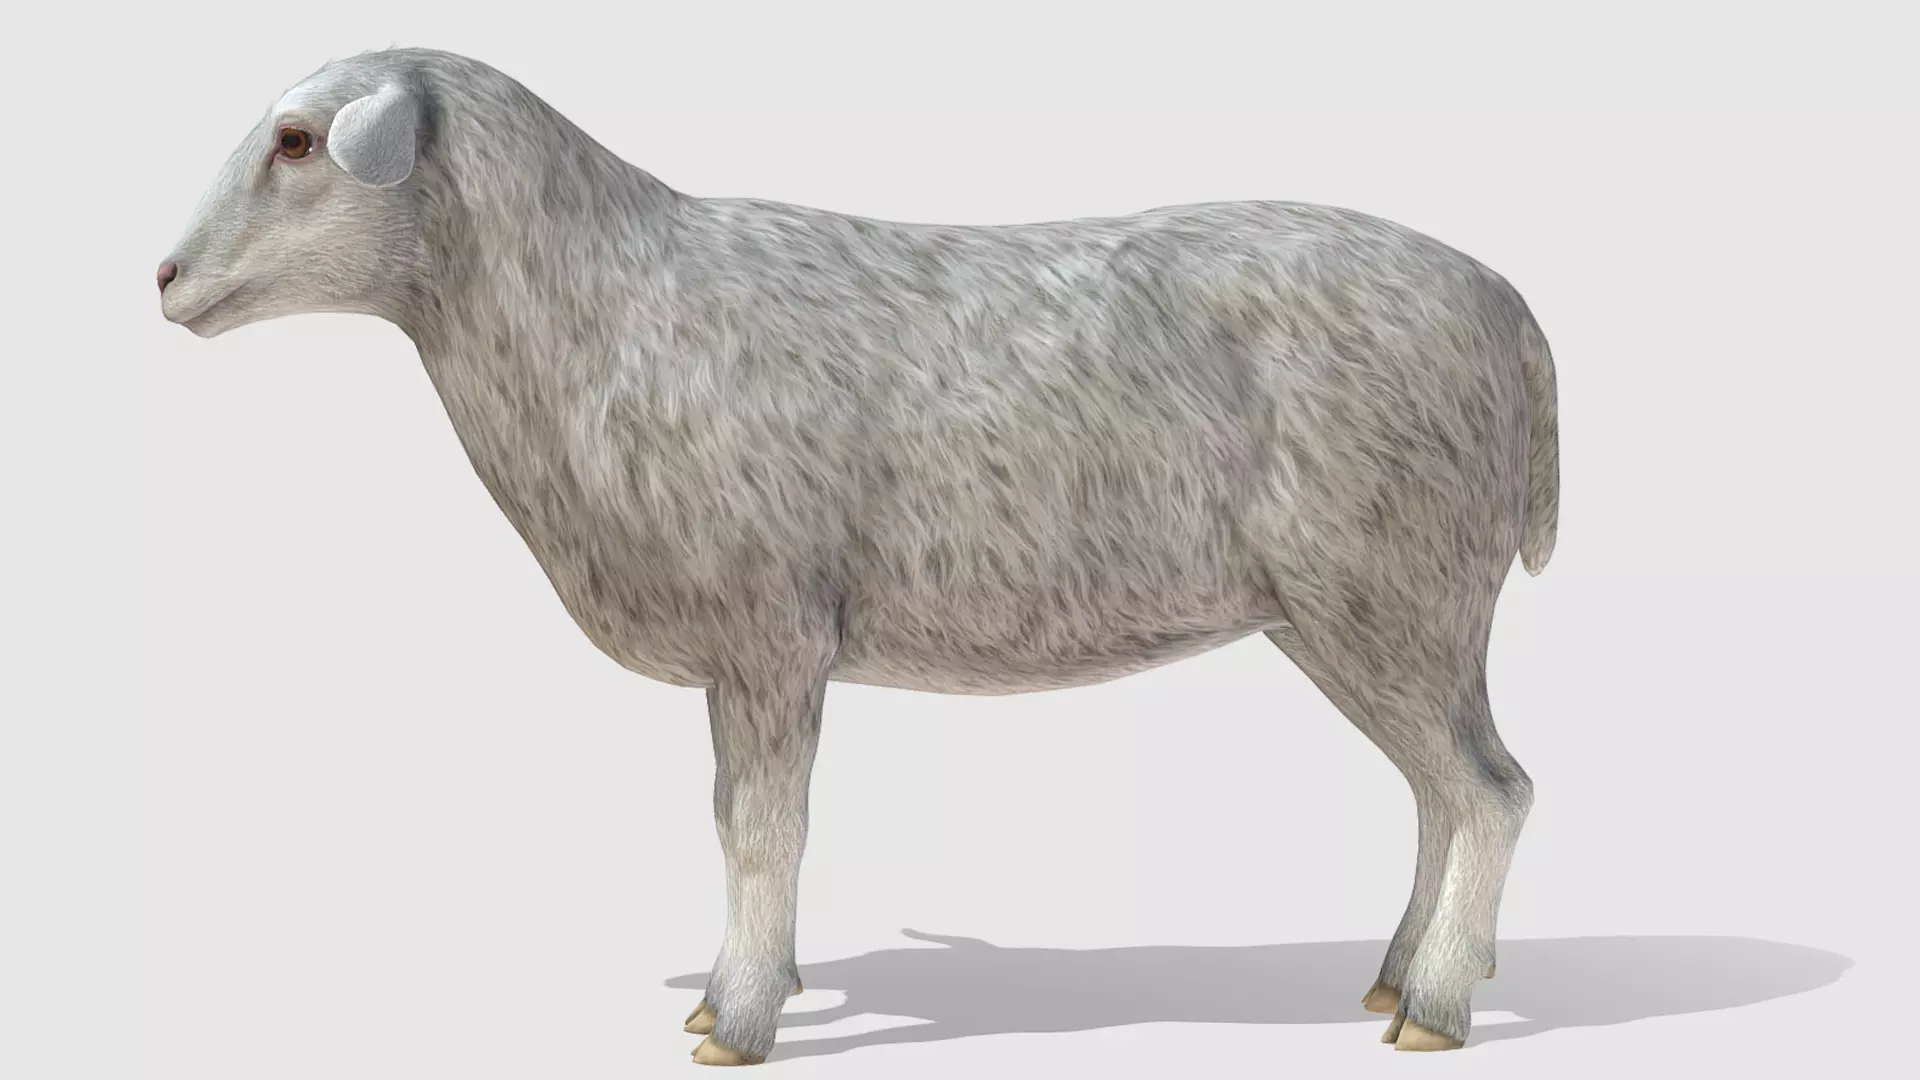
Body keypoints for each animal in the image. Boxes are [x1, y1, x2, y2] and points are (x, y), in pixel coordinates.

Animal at [156, 46, 1560, 1065]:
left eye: (297, 141)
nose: (163, 277)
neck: (594, 314)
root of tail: (1509, 309)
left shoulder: (771, 626)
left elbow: (762, 830)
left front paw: (739, 1023)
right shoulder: (742, 653)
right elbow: (735, 813)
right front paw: (744, 989)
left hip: (1387, 589)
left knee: (1491, 792)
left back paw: (1436, 1010)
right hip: (1399, 609)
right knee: (1442, 791)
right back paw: (1395, 973)